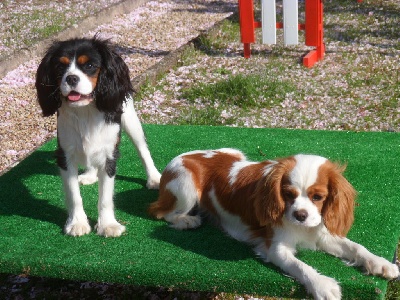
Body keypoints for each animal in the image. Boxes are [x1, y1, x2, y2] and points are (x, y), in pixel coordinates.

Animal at [148, 149, 398, 298]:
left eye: (318, 197)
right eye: (288, 194)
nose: (300, 215)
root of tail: (179, 158)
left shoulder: (321, 233)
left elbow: (356, 247)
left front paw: (381, 263)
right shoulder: (276, 249)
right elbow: (301, 266)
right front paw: (323, 285)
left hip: (234, 153)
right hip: (186, 185)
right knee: (161, 212)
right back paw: (187, 220)